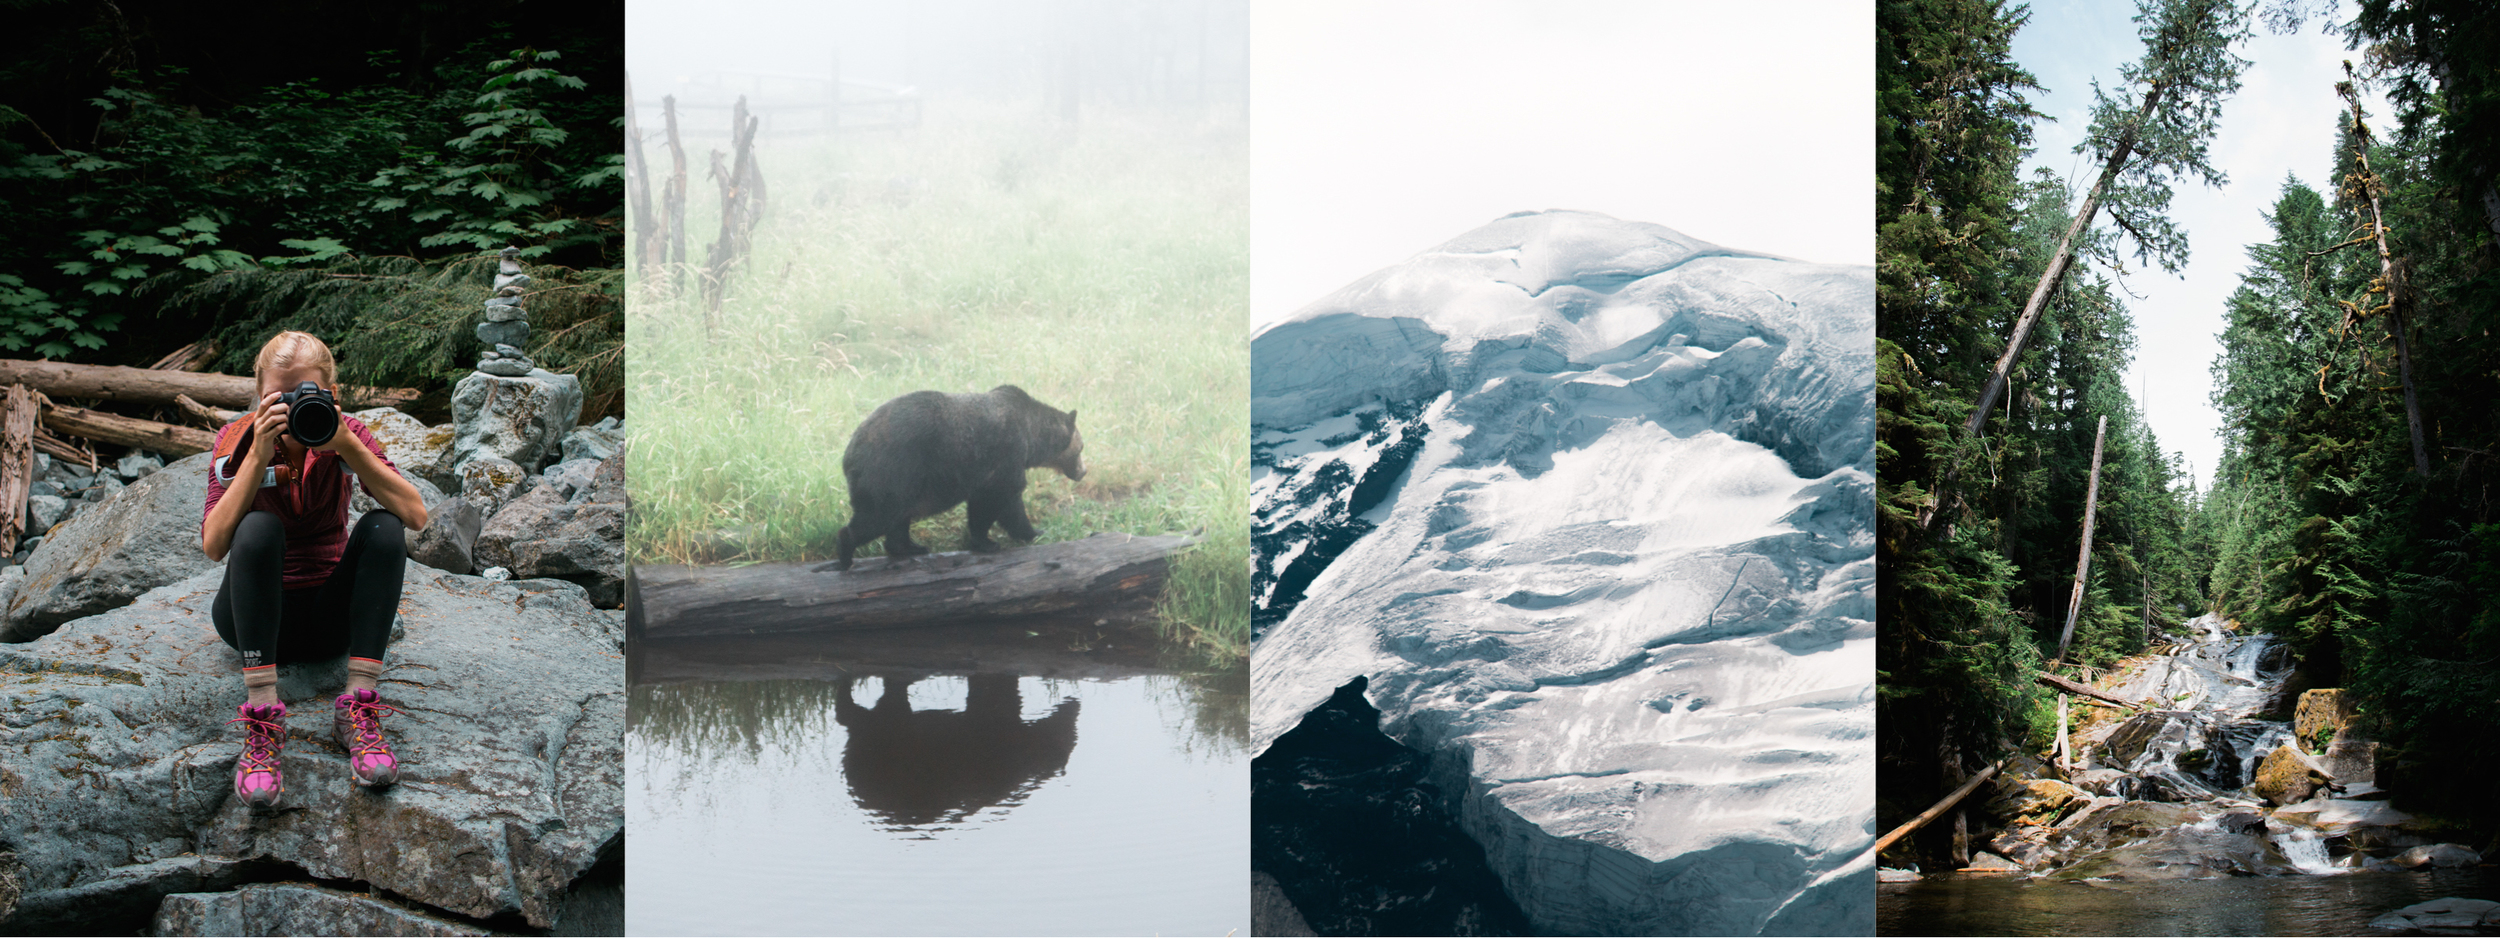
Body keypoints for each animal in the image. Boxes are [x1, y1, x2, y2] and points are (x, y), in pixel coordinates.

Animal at [835, 382, 1080, 572]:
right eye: (1081, 450)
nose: (1083, 471)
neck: (1032, 435)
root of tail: (849, 452)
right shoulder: (1006, 453)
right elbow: (1002, 499)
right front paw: (1015, 536)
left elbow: (988, 503)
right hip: (892, 472)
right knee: (877, 516)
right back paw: (846, 555)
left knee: (898, 519)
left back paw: (912, 547)